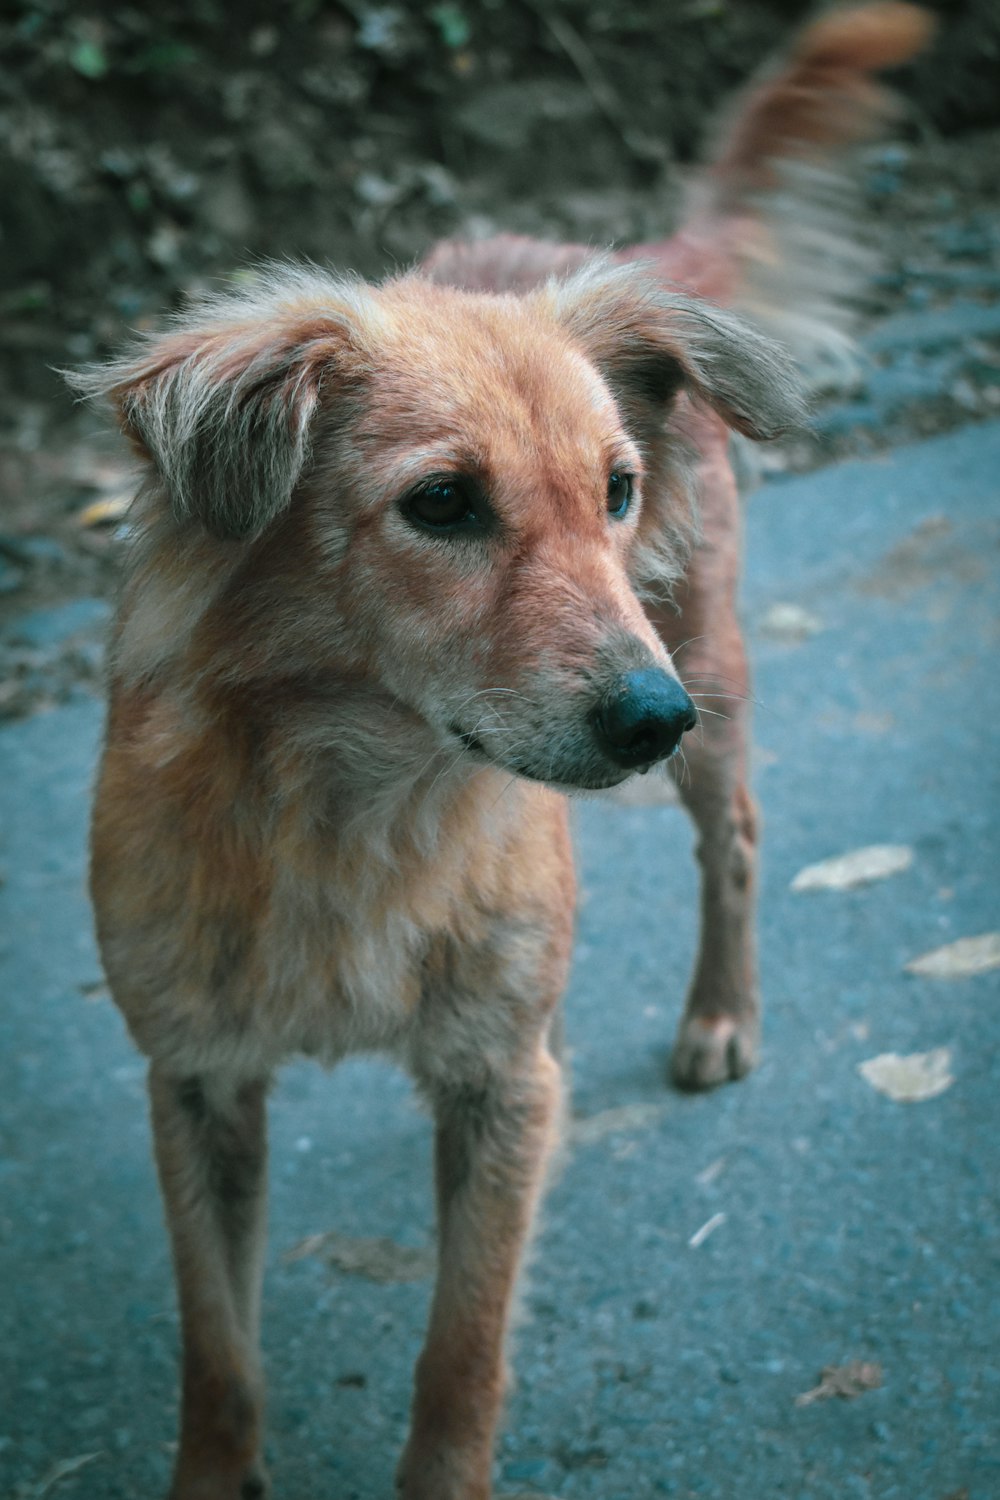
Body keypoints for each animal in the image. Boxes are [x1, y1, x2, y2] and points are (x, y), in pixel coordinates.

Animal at [78, 5, 929, 1494]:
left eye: (615, 491)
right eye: (441, 504)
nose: (652, 719)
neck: (347, 803)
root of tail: (601, 260)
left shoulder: (497, 1087)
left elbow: (461, 1353)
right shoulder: (194, 1082)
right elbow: (219, 1357)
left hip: (707, 659)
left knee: (737, 839)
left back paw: (721, 1012)